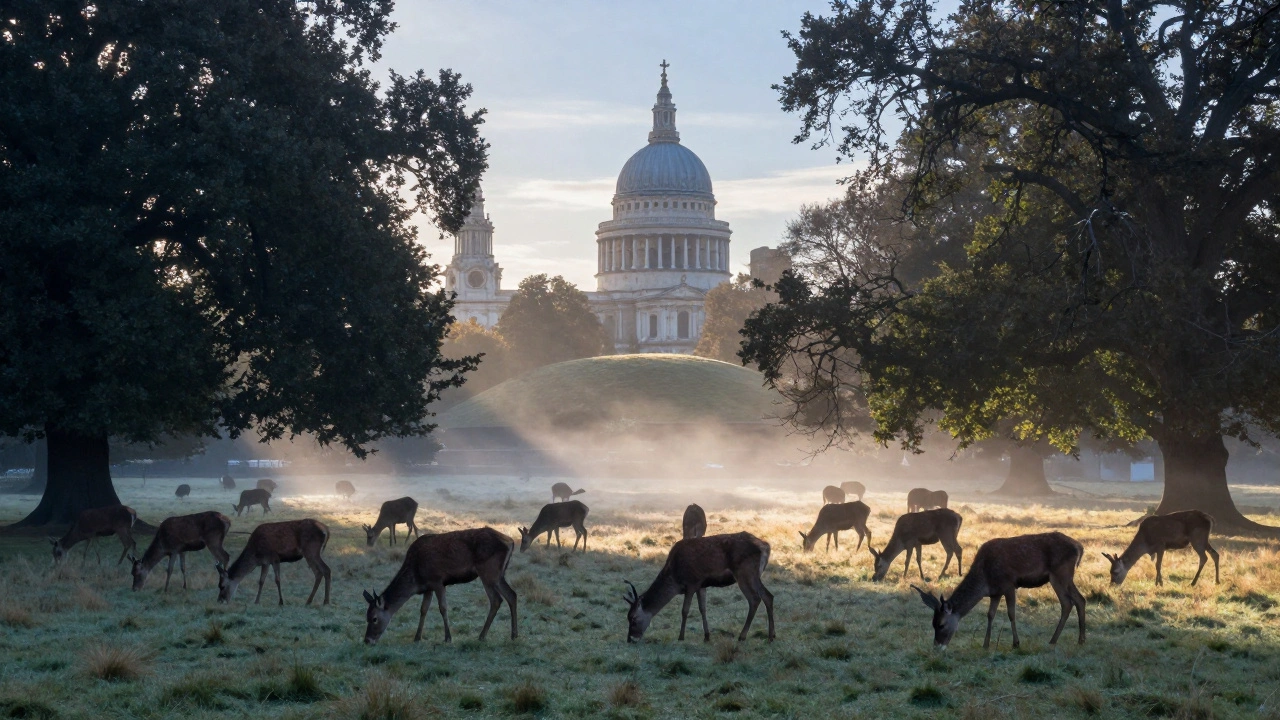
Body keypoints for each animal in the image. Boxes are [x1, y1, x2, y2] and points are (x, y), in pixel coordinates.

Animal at [362, 527, 518, 644]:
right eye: (366, 616)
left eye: (374, 618)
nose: (367, 640)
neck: (416, 577)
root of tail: (511, 541)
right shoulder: (428, 587)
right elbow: (423, 609)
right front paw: (417, 637)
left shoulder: (437, 580)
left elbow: (443, 608)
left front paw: (448, 638)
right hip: (497, 574)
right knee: (511, 595)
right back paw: (514, 635)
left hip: (488, 571)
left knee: (496, 599)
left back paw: (482, 636)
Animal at [624, 532, 774, 643]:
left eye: (633, 618)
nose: (630, 639)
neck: (674, 578)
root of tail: (766, 546)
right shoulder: (701, 585)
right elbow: (703, 609)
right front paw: (707, 636)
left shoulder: (691, 582)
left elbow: (685, 610)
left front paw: (681, 637)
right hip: (754, 575)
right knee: (768, 596)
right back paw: (771, 636)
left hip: (744, 572)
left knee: (754, 599)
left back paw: (742, 636)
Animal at [913, 531, 1085, 650]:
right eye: (932, 624)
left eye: (941, 625)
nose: (937, 646)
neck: (985, 579)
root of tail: (1079, 547)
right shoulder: (995, 592)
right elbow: (990, 615)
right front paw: (986, 644)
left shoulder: (1008, 584)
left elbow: (1011, 613)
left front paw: (1016, 643)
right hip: (1063, 577)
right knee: (1076, 600)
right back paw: (1077, 640)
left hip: (1060, 574)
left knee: (1071, 602)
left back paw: (1058, 640)